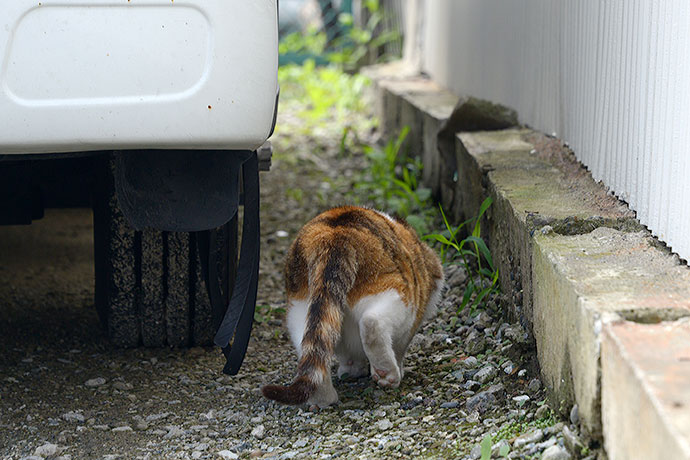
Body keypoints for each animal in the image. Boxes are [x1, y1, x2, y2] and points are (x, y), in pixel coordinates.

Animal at [260, 207, 444, 408]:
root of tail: (332, 236)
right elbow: (400, 347)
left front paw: (352, 369)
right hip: (393, 293)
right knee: (372, 323)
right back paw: (386, 373)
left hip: (301, 305)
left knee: (311, 346)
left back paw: (323, 397)